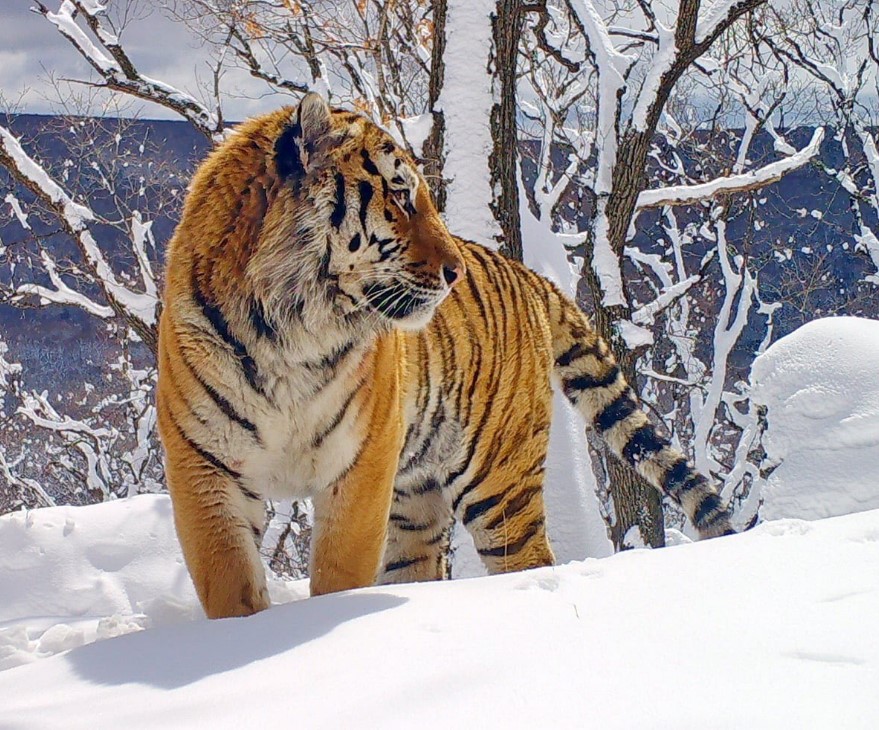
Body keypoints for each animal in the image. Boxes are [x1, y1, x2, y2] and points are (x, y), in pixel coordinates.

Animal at [158, 89, 736, 616]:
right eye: (400, 195)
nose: (454, 271)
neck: (287, 330)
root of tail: (529, 275)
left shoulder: (359, 466)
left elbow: (339, 577)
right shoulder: (206, 467)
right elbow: (230, 583)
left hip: (499, 484)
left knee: (527, 559)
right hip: (417, 500)